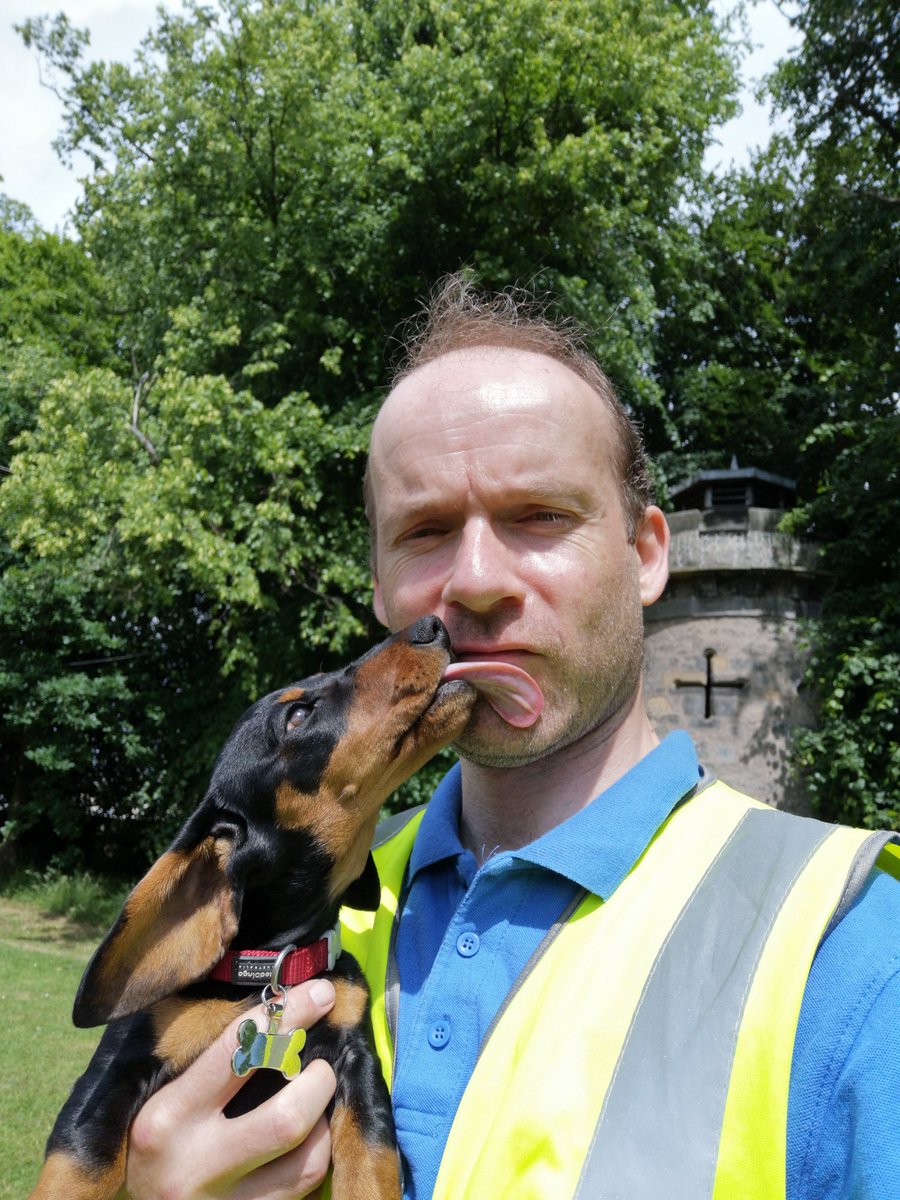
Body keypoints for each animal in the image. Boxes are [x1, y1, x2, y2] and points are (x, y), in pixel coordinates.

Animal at [30, 619, 480, 1200]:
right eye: (298, 715)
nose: (432, 625)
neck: (270, 967)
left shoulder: (358, 1064)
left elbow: (371, 1163)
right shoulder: (110, 1075)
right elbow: (82, 1165)